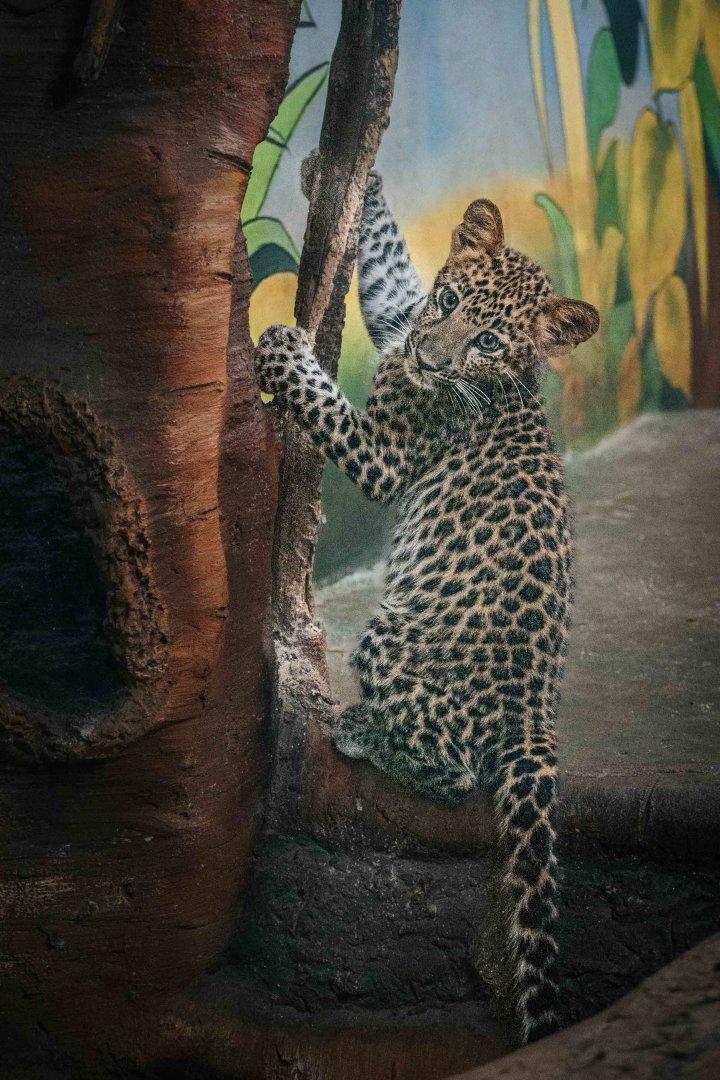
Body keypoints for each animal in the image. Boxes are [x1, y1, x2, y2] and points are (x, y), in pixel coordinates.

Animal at [253, 161, 599, 1043]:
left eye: (489, 341)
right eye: (448, 302)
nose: (431, 357)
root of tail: (537, 719)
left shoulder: (383, 454)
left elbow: (326, 408)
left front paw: (283, 350)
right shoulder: (397, 314)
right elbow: (383, 273)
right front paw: (353, 180)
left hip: (390, 640)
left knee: (452, 775)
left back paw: (361, 730)